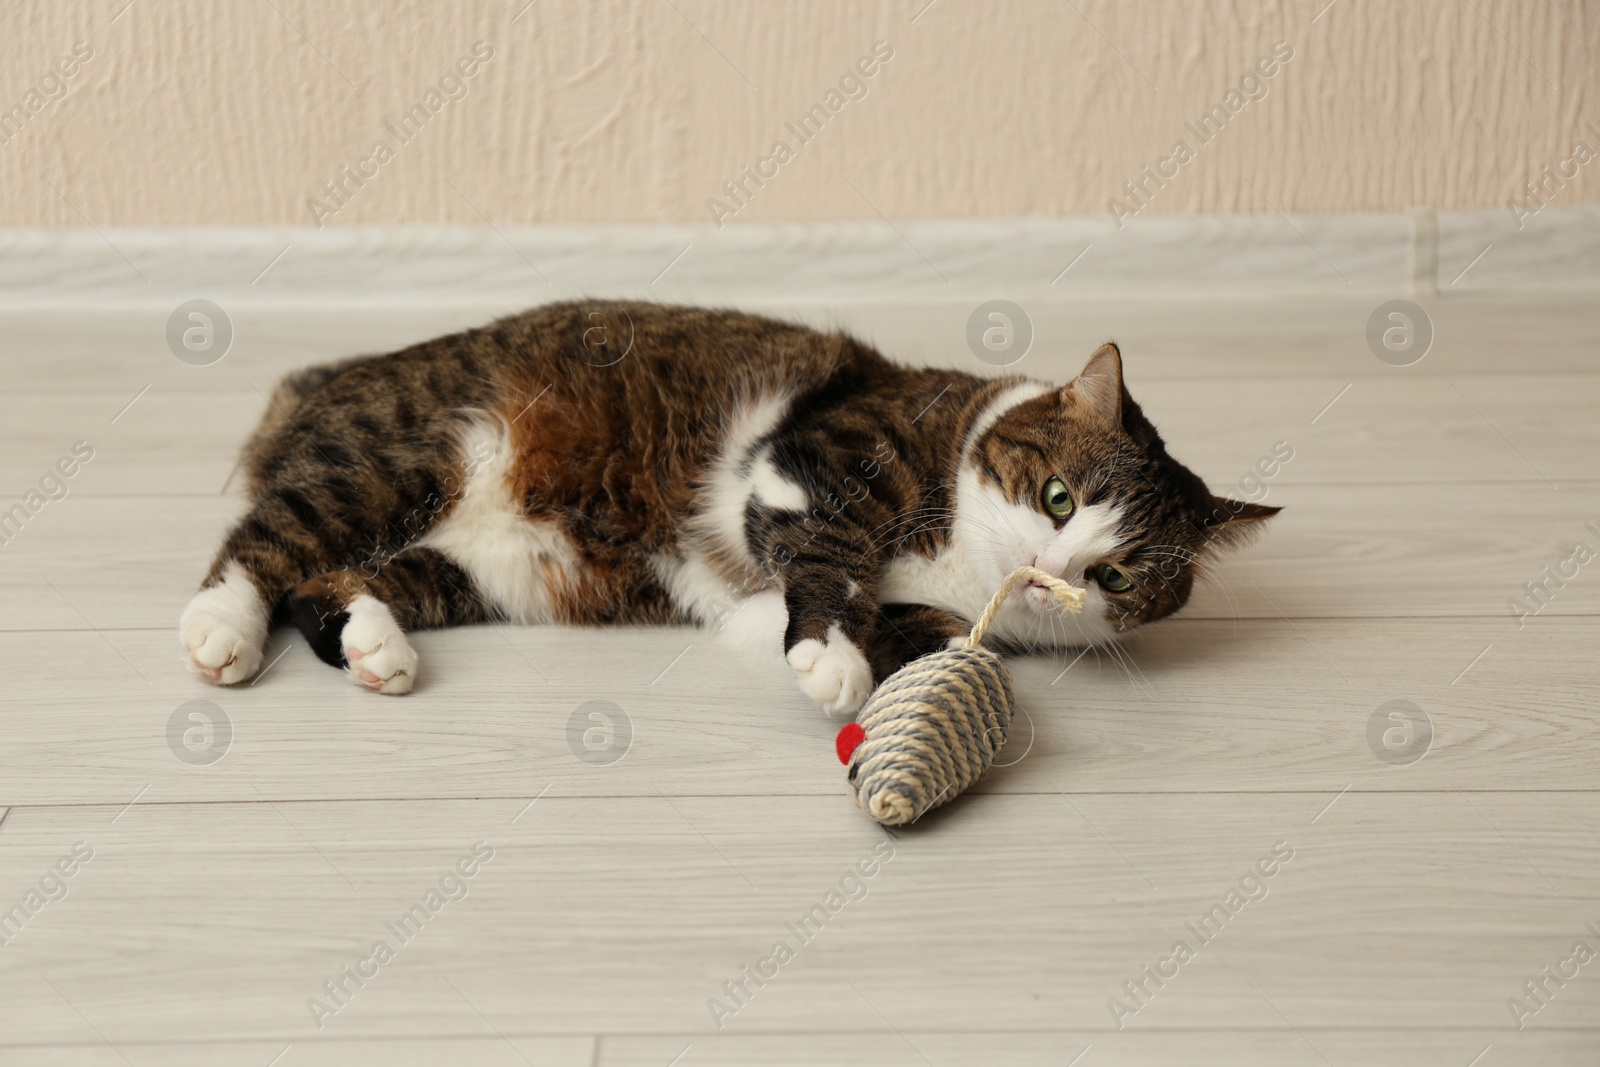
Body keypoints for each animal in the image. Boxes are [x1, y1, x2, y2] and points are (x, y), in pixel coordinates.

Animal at [178, 300, 1273, 716]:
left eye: (1117, 573)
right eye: (1057, 496)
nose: (1054, 575)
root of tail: (326, 375)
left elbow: (920, 632)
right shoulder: (814, 457)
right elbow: (831, 556)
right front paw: (826, 654)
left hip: (484, 570)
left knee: (334, 582)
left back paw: (375, 643)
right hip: (398, 457)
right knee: (265, 541)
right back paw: (220, 628)